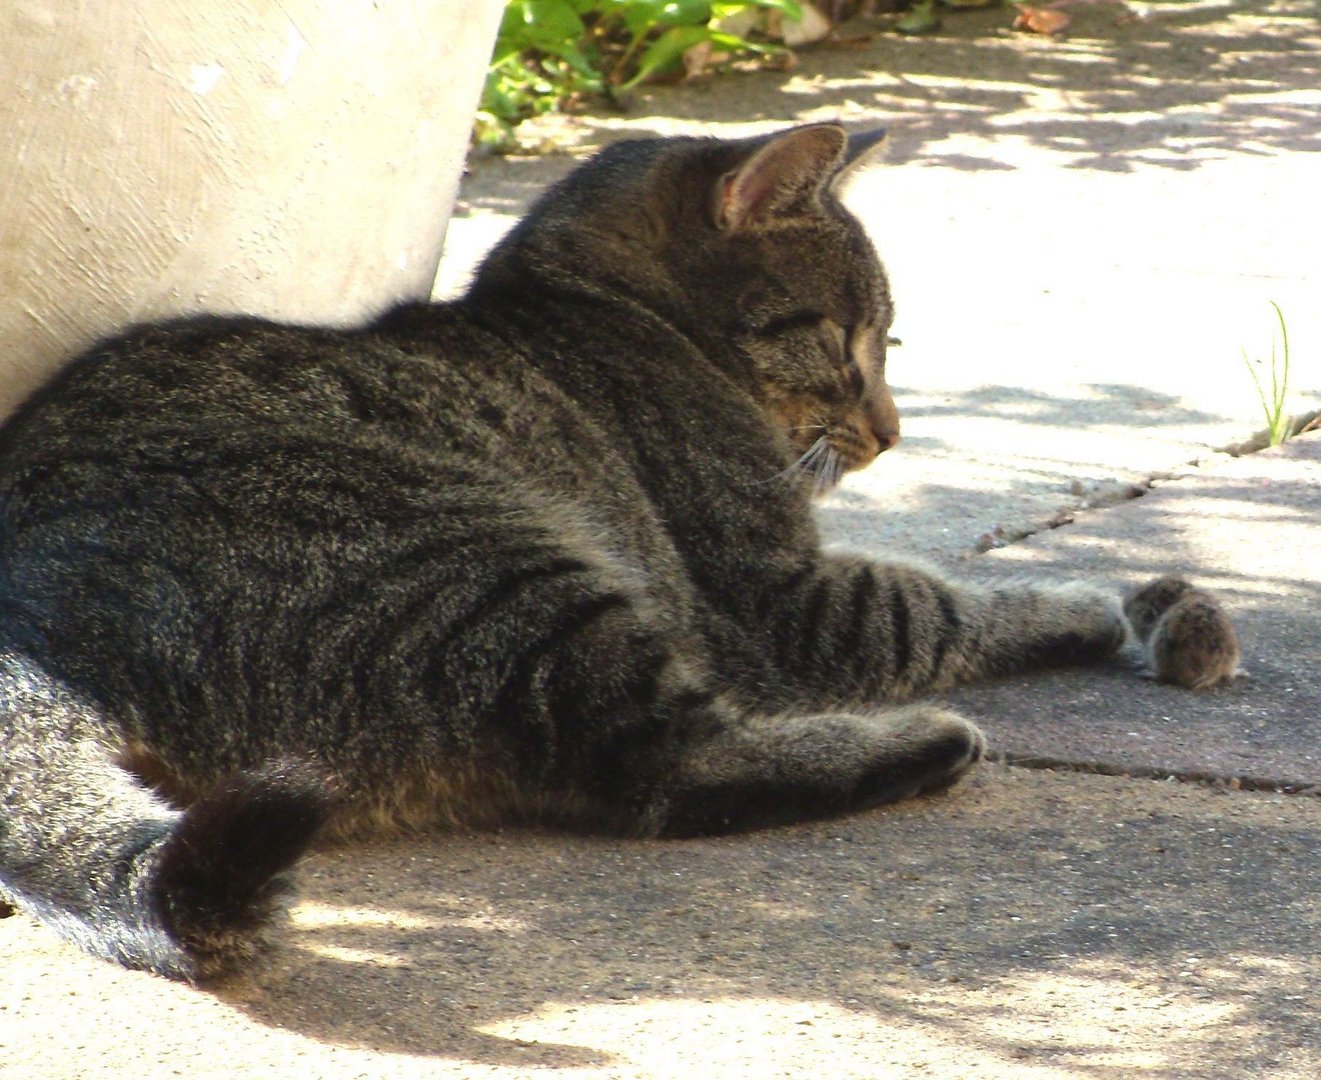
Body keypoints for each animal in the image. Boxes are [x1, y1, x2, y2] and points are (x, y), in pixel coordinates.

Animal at [0, 124, 1125, 977]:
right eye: (848, 338)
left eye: (885, 341)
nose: (892, 433)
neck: (607, 315)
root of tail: (33, 632)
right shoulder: (785, 602)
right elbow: (943, 601)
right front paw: (1088, 602)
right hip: (512, 577)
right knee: (669, 774)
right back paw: (923, 744)